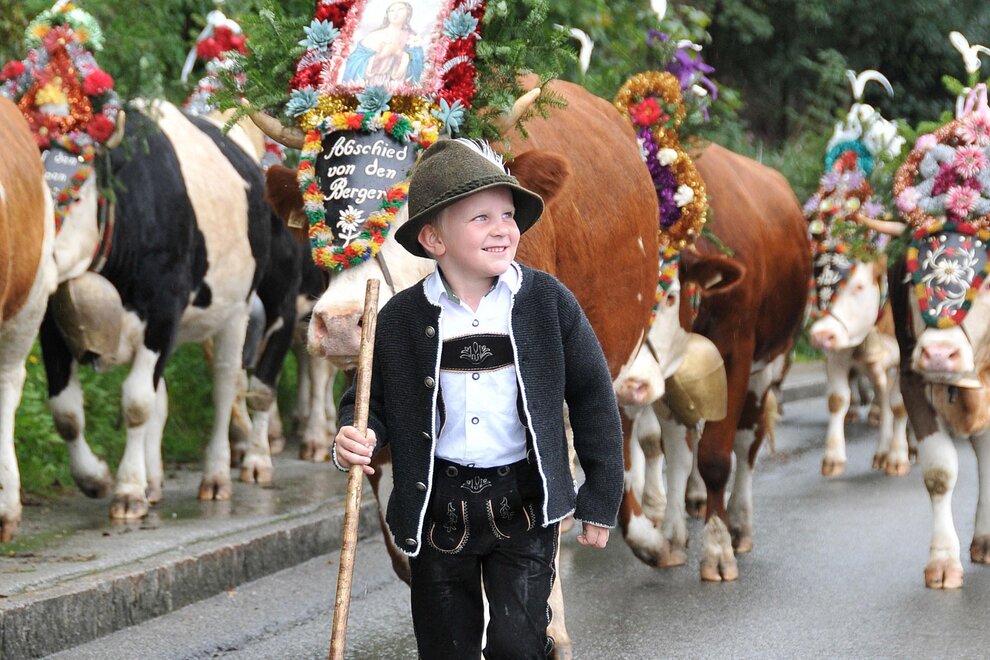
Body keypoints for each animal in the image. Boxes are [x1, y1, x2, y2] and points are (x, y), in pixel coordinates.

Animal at [39, 100, 286, 519]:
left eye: (76, 196)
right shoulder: (51, 324)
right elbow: (66, 412)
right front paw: (96, 478)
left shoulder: (163, 311)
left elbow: (137, 402)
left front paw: (128, 491)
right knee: (165, 397)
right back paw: (154, 481)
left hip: (236, 309)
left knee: (225, 386)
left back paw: (216, 476)